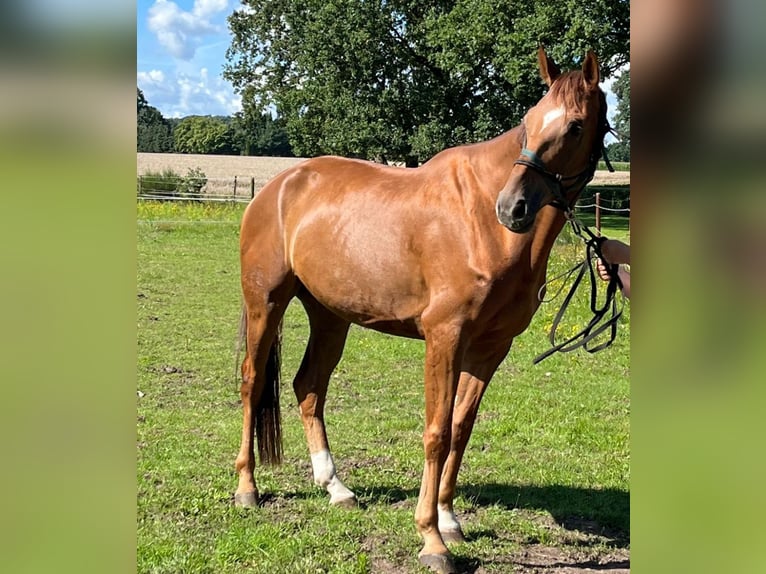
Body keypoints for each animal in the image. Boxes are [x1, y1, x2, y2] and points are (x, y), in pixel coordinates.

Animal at [234, 47, 612, 572]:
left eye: (576, 126)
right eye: (530, 121)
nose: (512, 208)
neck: (481, 223)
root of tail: (278, 187)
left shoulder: (490, 348)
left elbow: (460, 428)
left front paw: (450, 520)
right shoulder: (445, 336)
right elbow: (435, 431)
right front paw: (431, 539)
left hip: (330, 316)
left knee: (308, 387)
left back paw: (336, 488)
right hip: (265, 304)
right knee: (252, 383)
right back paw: (247, 489)